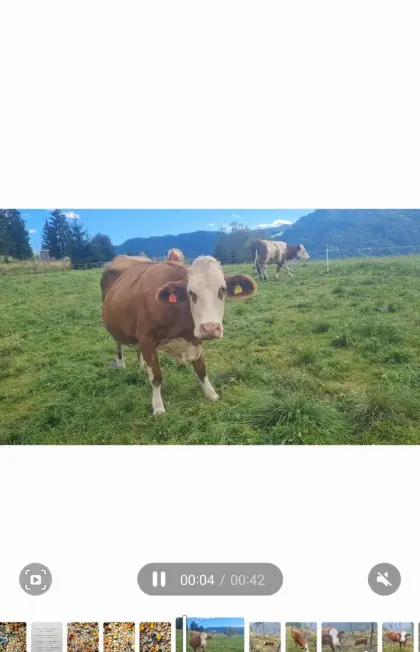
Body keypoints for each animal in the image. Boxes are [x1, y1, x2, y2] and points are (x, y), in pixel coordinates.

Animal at [101, 255, 257, 414]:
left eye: (222, 290)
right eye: (191, 293)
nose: (210, 328)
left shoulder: (195, 339)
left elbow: (201, 369)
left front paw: (210, 393)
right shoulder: (147, 340)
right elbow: (156, 377)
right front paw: (158, 407)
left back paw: (141, 365)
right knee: (119, 344)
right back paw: (121, 364)